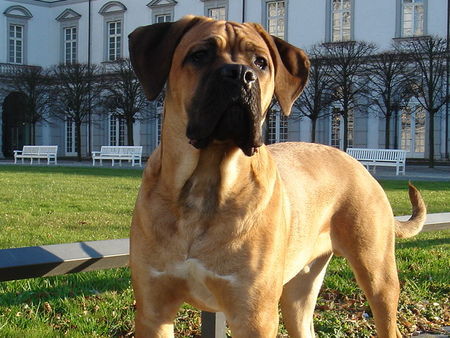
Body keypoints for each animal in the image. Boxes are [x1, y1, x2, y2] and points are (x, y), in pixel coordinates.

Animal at [129, 16, 426, 338]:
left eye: (260, 62)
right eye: (199, 55)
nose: (240, 74)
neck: (205, 184)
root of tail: (355, 161)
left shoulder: (254, 315)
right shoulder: (154, 310)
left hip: (377, 272)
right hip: (300, 289)